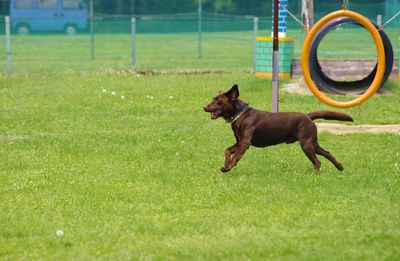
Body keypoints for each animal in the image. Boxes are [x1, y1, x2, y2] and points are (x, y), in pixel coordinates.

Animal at [203, 84, 354, 172]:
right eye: (213, 98)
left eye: (218, 101)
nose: (203, 107)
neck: (241, 114)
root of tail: (308, 116)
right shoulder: (238, 141)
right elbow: (227, 151)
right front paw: (226, 163)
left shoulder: (245, 143)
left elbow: (236, 157)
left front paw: (228, 167)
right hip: (312, 143)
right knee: (327, 153)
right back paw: (340, 167)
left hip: (306, 144)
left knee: (317, 162)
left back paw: (315, 175)